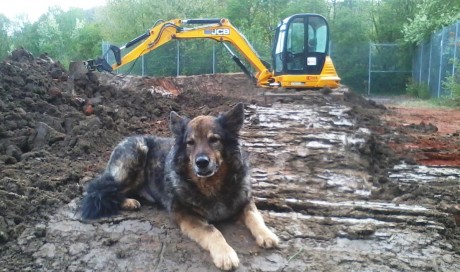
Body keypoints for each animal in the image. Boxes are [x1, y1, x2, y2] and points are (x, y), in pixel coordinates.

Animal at [80, 103, 278, 270]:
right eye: (190, 143)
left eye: (214, 140)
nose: (201, 163)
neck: (211, 185)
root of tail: (128, 138)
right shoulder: (184, 213)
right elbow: (212, 231)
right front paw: (225, 254)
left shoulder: (245, 200)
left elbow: (255, 216)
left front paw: (267, 234)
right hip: (134, 159)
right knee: (98, 191)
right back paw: (128, 202)